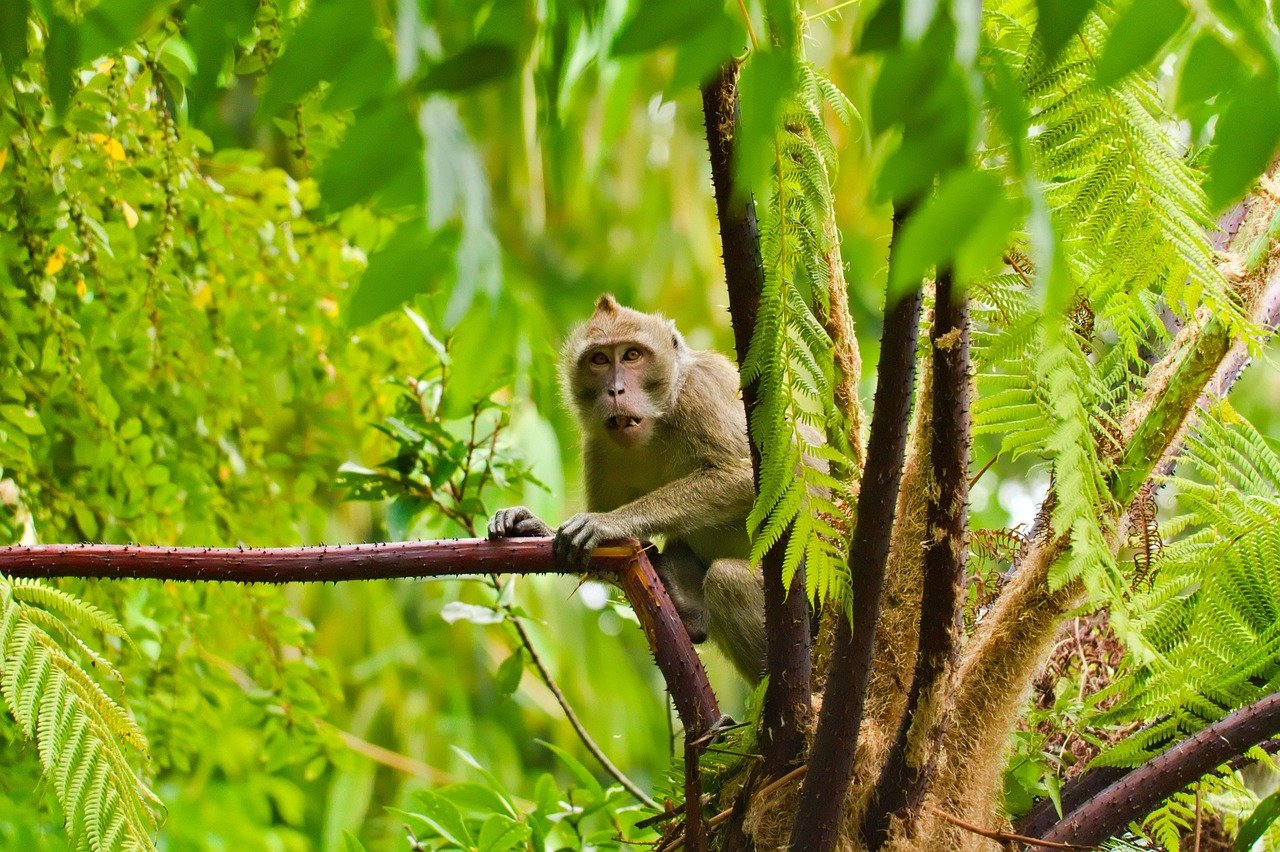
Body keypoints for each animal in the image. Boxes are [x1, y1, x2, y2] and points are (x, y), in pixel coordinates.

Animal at [488, 294, 766, 683]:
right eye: (599, 359)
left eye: (632, 355)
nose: (615, 390)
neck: (660, 422)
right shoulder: (599, 446)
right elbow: (609, 559)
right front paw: (531, 527)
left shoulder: (702, 392)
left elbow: (746, 478)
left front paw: (606, 523)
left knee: (730, 581)